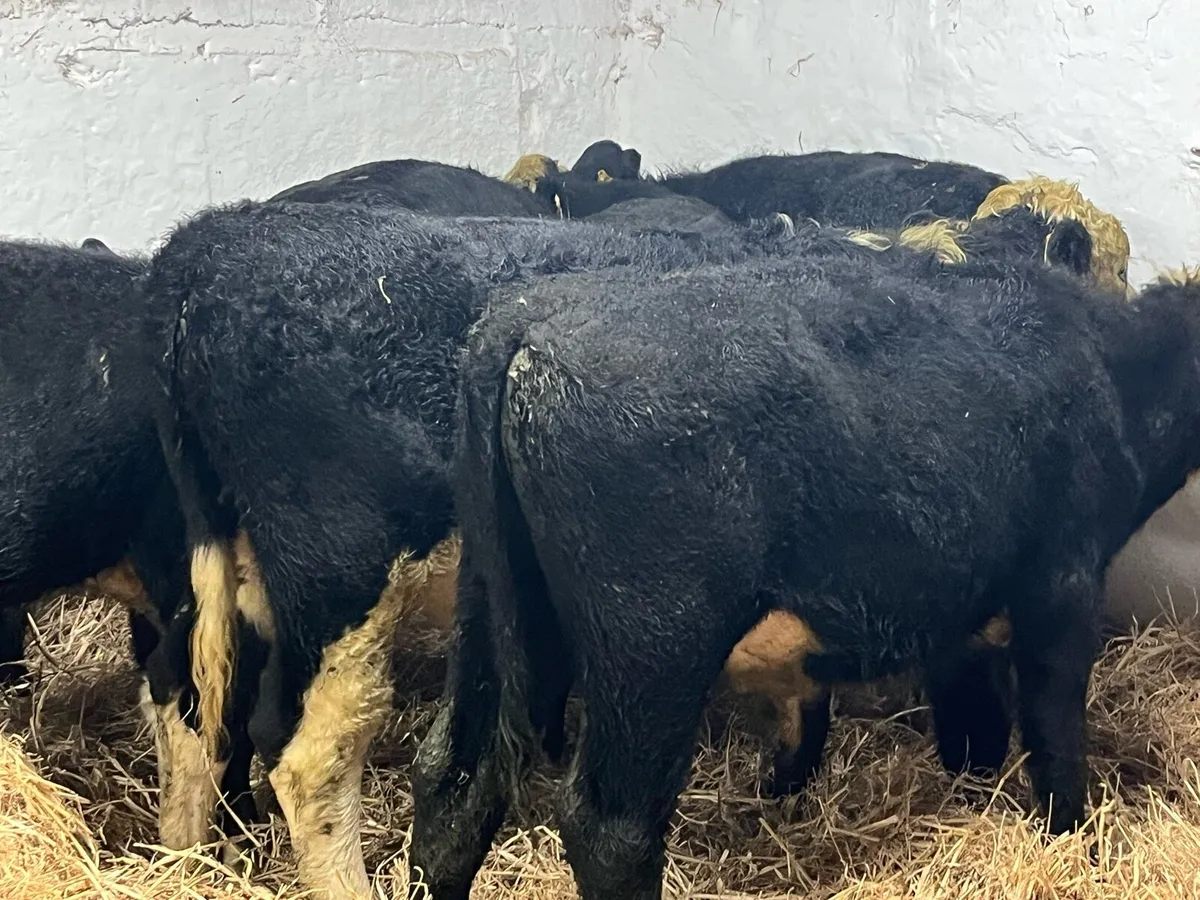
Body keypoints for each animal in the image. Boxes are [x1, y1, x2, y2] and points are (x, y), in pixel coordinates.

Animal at [143, 199, 806, 900]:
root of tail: (212, 240)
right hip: (340, 571)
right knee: (311, 753)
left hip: (229, 559)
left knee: (184, 685)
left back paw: (186, 853)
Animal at [410, 231, 1200, 900]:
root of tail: (528, 320)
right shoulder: (1062, 582)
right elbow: (1054, 732)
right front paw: (1076, 843)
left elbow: (962, 718)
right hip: (653, 642)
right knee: (612, 828)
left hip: (490, 601)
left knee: (453, 778)